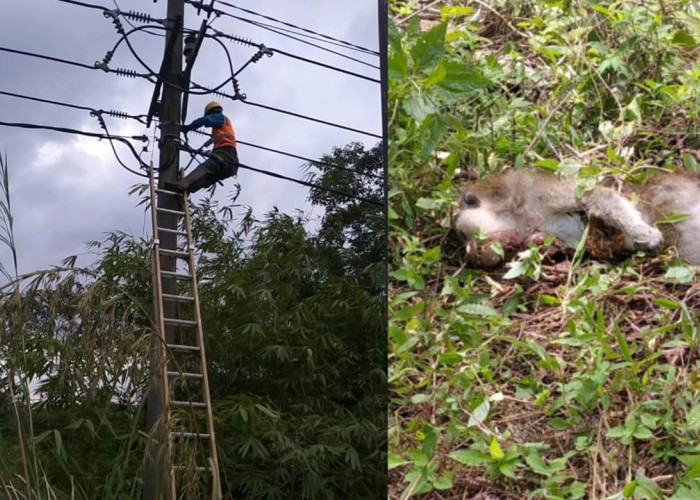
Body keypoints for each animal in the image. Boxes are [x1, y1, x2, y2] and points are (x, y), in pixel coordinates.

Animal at [454, 169, 700, 270]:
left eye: (463, 235)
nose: (471, 253)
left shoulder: (535, 193)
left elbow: (594, 196)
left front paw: (644, 234)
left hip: (672, 200)